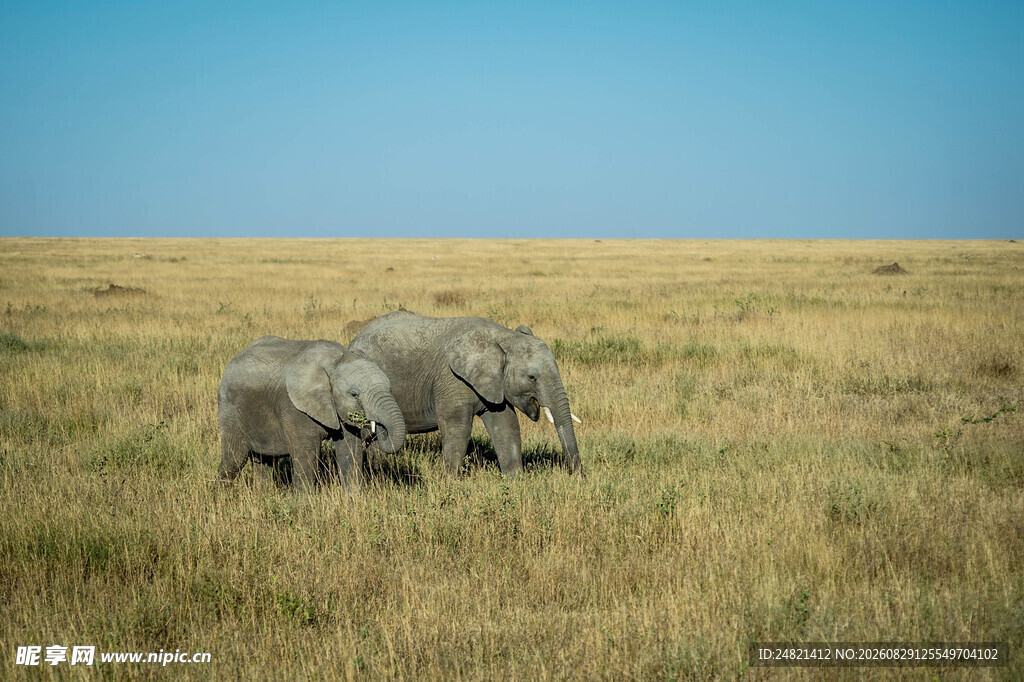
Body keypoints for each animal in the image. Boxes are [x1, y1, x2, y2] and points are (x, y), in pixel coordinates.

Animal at [217, 336, 407, 489]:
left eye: (390, 388)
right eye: (354, 394)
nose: (377, 427)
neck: (335, 360)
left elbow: (349, 450)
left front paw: (354, 498)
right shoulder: (294, 408)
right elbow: (306, 454)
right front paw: (303, 505)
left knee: (264, 460)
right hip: (229, 409)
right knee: (234, 458)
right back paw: (221, 496)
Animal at [348, 311, 582, 477]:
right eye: (532, 377)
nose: (579, 477)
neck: (503, 337)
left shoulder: (494, 383)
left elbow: (506, 425)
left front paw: (516, 480)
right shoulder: (451, 379)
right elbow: (457, 427)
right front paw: (450, 482)